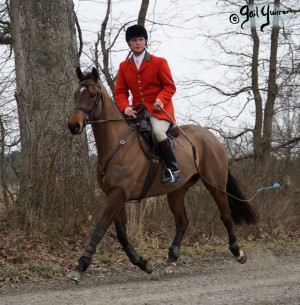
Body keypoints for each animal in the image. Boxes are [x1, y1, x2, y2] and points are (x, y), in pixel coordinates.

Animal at [67, 67, 256, 282]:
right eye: (76, 94)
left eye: (92, 95)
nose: (73, 125)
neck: (117, 144)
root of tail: (211, 137)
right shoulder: (113, 194)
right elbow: (121, 234)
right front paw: (142, 263)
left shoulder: (118, 194)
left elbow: (99, 229)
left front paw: (80, 266)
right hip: (177, 190)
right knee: (182, 222)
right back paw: (171, 260)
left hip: (215, 184)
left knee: (226, 216)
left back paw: (238, 252)